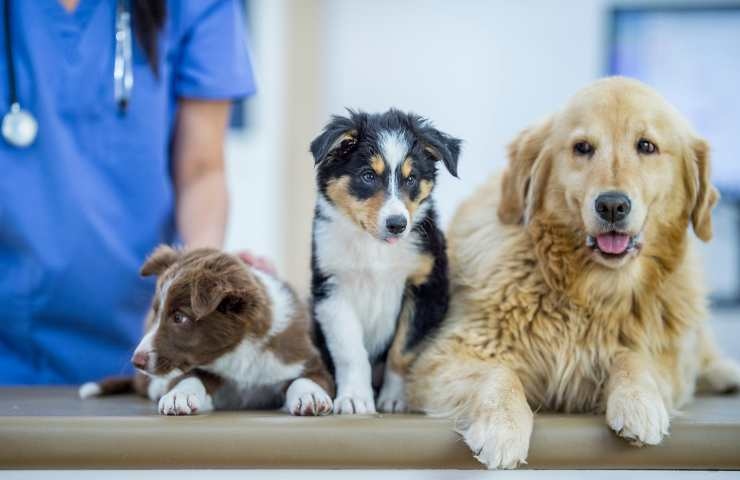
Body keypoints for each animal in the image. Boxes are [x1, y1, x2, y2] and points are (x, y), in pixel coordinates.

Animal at [79, 246, 334, 414]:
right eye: (156, 312)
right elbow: (190, 377)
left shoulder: (304, 358)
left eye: (179, 318)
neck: (239, 353)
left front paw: (310, 395)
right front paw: (178, 395)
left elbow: (307, 379)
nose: (136, 361)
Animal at [310, 109, 460, 412]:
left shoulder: (426, 286)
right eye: (368, 176)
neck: (375, 248)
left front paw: (394, 398)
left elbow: (403, 350)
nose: (397, 225)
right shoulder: (331, 288)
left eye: (411, 178)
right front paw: (355, 398)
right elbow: (350, 351)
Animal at [408, 78, 740, 468]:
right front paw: (502, 426)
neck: (589, 289)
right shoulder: (442, 357)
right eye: (582, 147)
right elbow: (499, 373)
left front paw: (639, 402)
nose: (612, 205)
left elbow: (634, 356)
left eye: (647, 146)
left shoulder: (667, 363)